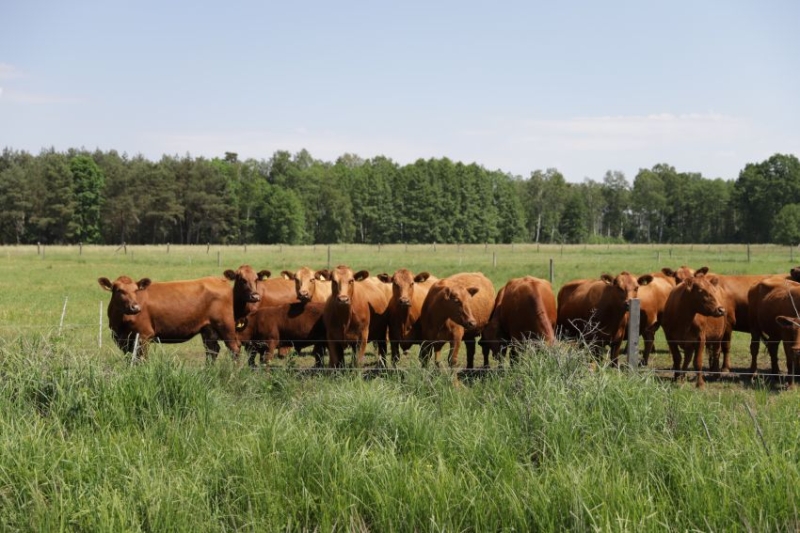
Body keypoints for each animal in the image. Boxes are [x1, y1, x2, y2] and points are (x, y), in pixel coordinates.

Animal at [97, 274, 241, 362]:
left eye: (136, 290)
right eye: (119, 291)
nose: (135, 307)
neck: (120, 322)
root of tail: (219, 280)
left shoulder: (144, 336)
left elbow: (141, 360)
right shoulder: (121, 339)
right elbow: (129, 359)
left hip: (226, 326)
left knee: (234, 349)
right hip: (208, 330)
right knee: (212, 350)